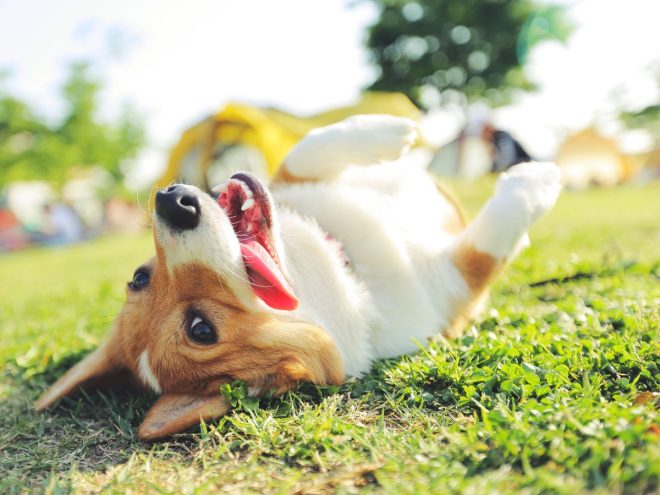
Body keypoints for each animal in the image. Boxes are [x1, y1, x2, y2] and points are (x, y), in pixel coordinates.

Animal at [36, 116, 564, 442]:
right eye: (201, 329)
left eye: (138, 276)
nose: (172, 202)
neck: (345, 262)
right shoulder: (453, 284)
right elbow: (491, 241)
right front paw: (534, 180)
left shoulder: (293, 180)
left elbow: (306, 150)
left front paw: (389, 130)